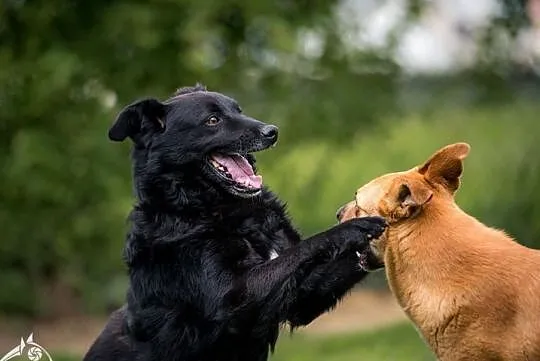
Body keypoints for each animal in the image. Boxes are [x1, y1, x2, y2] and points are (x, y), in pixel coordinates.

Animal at [83, 84, 388, 360]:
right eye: (212, 120)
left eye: (238, 110)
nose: (272, 132)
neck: (214, 207)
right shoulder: (232, 298)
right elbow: (305, 247)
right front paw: (351, 228)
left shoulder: (302, 297)